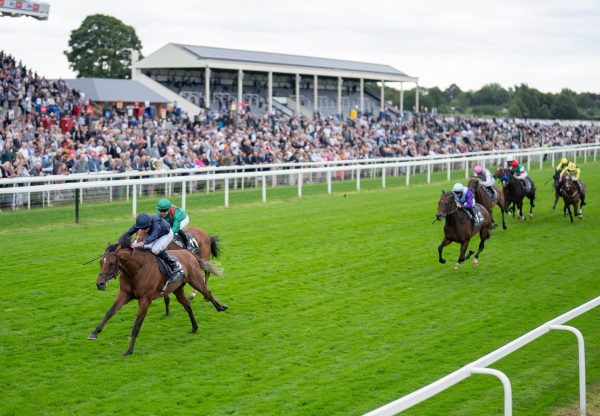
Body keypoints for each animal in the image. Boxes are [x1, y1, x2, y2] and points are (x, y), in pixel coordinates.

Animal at [89, 242, 220, 356]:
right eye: (101, 262)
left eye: (111, 263)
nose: (99, 284)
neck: (136, 270)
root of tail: (188, 252)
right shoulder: (124, 295)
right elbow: (109, 313)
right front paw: (94, 333)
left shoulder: (145, 300)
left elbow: (136, 326)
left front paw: (129, 350)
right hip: (177, 289)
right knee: (187, 305)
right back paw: (194, 327)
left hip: (195, 280)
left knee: (207, 293)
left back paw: (220, 307)